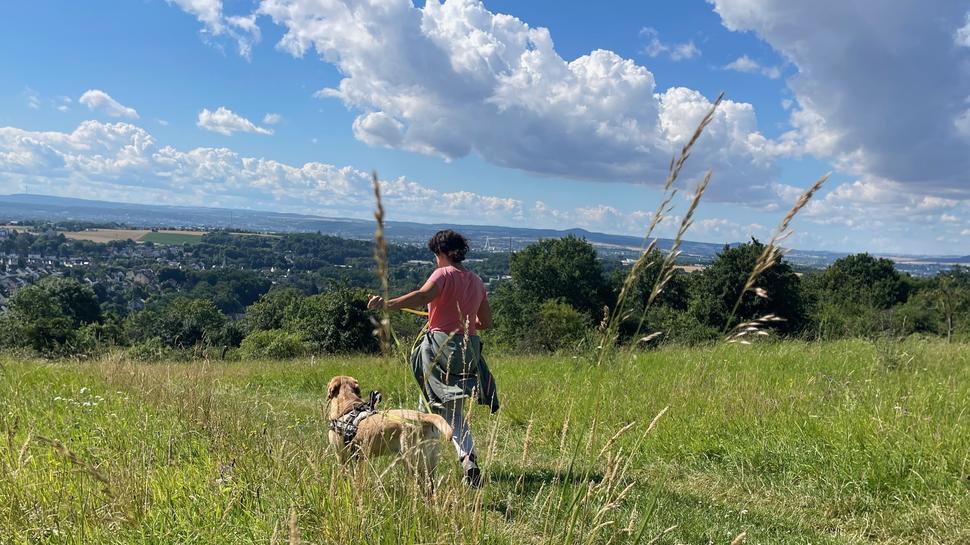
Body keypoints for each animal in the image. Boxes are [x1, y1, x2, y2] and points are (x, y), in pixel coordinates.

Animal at [322, 376, 450, 482]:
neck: (348, 405)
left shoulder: (341, 456)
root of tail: (424, 416)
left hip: (413, 463)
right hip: (429, 464)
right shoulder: (359, 458)